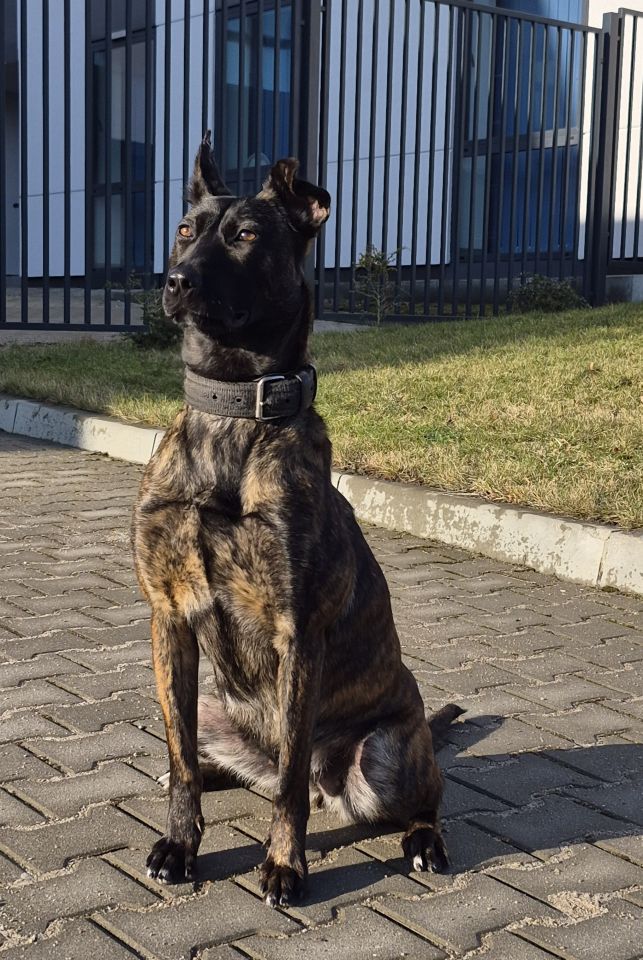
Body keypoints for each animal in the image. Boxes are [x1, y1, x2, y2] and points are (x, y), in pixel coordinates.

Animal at [132, 133, 463, 907]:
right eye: (185, 229)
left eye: (247, 236)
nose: (176, 281)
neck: (232, 415)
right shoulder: (168, 620)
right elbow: (181, 761)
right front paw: (180, 845)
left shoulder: (298, 635)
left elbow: (283, 782)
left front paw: (285, 864)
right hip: (214, 710)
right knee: (204, 757)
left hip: (386, 754)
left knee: (414, 796)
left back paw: (423, 841)